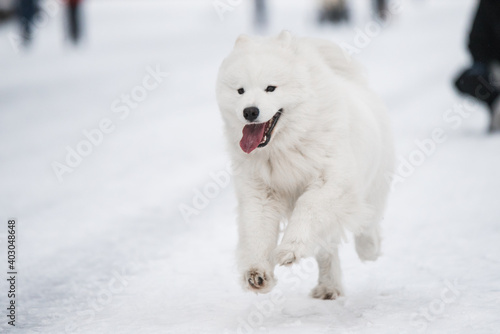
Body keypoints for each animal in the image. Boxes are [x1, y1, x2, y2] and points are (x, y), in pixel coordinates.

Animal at [215, 30, 394, 298]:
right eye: (240, 91)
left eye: (270, 88)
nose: (250, 111)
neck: (286, 146)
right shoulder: (260, 193)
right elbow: (257, 231)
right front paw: (257, 274)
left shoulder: (329, 183)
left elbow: (307, 208)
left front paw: (290, 248)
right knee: (327, 247)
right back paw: (328, 287)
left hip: (373, 185)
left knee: (368, 219)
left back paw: (368, 249)